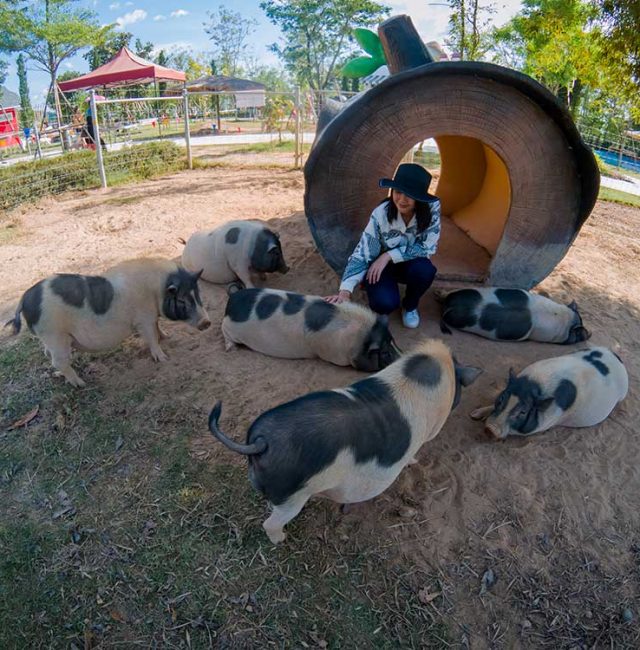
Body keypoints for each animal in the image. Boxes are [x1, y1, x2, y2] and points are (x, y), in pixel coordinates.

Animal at [5, 258, 210, 388]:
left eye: (197, 294)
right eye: (182, 300)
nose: (207, 322)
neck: (157, 290)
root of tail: (25, 298)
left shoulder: (152, 317)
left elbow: (157, 328)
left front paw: (166, 337)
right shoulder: (143, 319)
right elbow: (151, 338)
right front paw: (164, 358)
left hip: (51, 338)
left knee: (49, 355)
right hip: (54, 335)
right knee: (58, 361)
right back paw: (80, 384)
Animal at [208, 340, 482, 540]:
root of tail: (262, 441)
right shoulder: (429, 430)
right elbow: (415, 453)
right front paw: (413, 462)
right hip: (292, 496)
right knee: (270, 523)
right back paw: (282, 539)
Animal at [220, 288, 400, 372]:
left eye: (393, 341)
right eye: (385, 353)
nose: (401, 358)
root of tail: (232, 299)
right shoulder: (334, 355)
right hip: (229, 328)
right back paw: (231, 349)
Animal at [470, 344, 632, 436]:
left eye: (523, 412)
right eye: (502, 398)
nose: (490, 429)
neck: (534, 386)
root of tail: (616, 356)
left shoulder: (546, 422)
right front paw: (474, 414)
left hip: (623, 393)